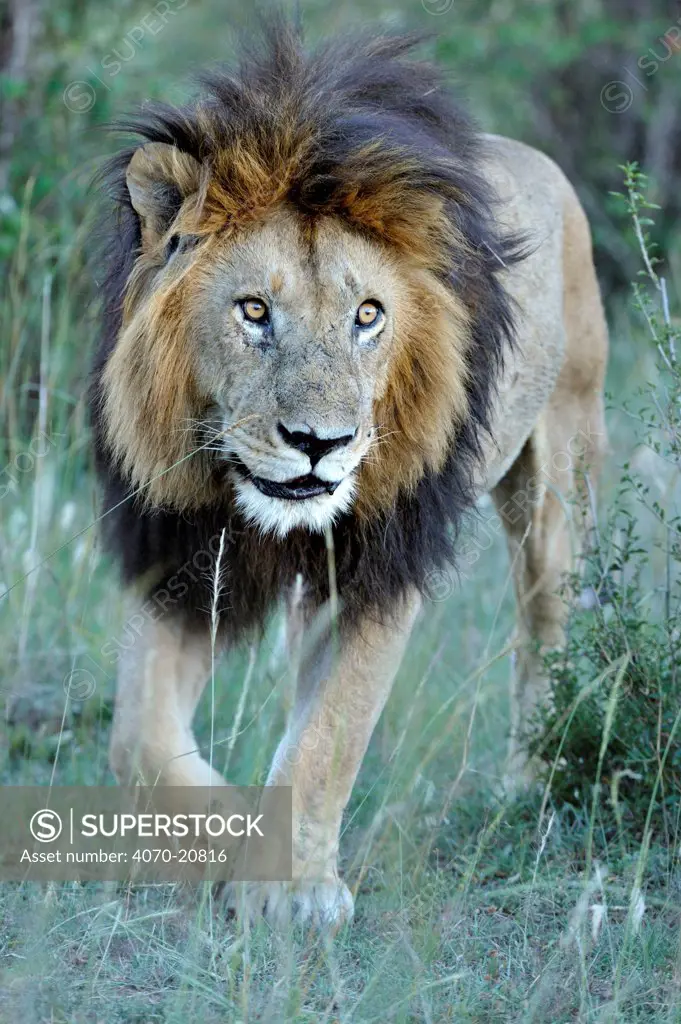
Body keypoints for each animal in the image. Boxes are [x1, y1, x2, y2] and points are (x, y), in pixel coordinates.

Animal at [90, 19, 606, 929]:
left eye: (367, 315)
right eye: (253, 311)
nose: (317, 443)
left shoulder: (380, 567)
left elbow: (331, 731)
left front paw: (290, 888)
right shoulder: (184, 562)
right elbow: (139, 741)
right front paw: (230, 841)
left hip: (558, 476)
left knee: (542, 634)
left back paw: (522, 789)